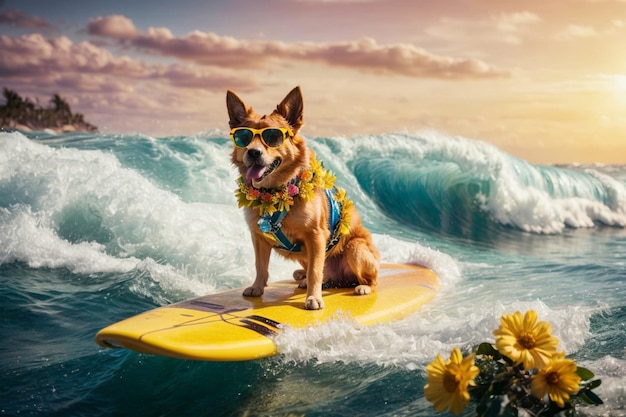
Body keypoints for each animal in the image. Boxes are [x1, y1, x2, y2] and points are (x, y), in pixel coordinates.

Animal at [227, 85, 378, 308]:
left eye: (273, 137)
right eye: (243, 137)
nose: (253, 152)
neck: (275, 193)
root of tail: (340, 279)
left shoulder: (316, 236)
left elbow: (315, 270)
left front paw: (313, 297)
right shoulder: (258, 237)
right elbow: (260, 266)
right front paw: (257, 287)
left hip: (355, 248)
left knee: (370, 280)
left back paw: (362, 287)